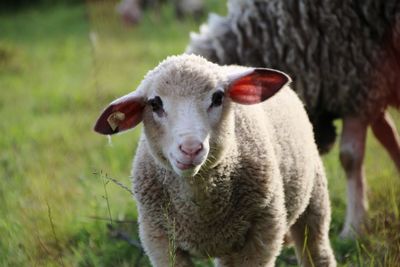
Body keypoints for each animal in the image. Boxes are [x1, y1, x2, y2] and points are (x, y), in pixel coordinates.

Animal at [95, 55, 336, 267]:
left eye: (218, 98)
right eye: (154, 104)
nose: (191, 148)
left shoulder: (264, 230)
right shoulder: (158, 238)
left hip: (315, 195)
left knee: (317, 251)